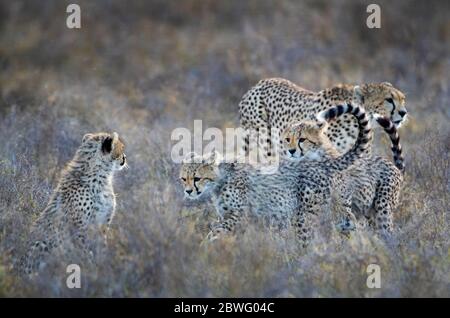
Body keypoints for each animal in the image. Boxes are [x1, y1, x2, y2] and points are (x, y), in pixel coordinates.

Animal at [19, 132, 126, 274]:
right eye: (121, 148)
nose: (125, 158)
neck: (101, 176)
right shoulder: (79, 228)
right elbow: (85, 252)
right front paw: (91, 268)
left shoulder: (103, 224)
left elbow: (101, 248)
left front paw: (103, 267)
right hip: (42, 244)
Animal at [180, 103, 372, 245]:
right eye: (184, 179)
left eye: (197, 178)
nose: (188, 192)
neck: (220, 178)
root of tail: (320, 162)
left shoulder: (238, 215)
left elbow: (216, 232)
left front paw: (204, 247)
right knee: (349, 222)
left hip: (305, 215)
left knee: (310, 239)